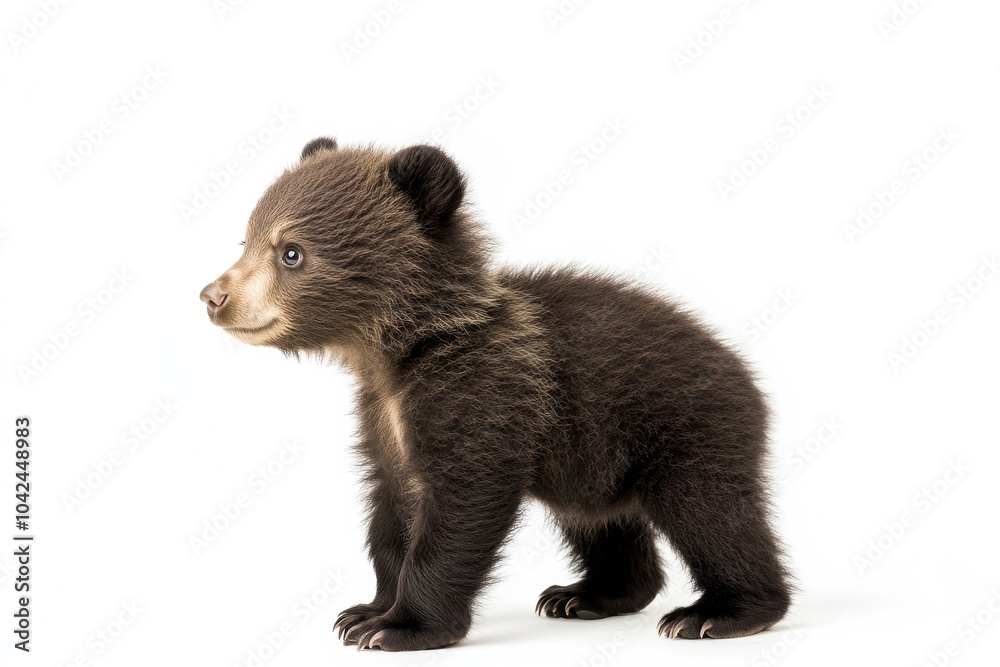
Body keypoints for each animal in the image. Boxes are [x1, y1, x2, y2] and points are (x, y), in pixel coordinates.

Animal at [199, 137, 792, 651]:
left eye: (291, 252)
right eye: (246, 239)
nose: (213, 296)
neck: (402, 352)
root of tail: (747, 376)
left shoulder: (484, 393)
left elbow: (462, 505)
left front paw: (401, 627)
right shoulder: (383, 415)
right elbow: (391, 507)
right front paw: (365, 610)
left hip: (688, 430)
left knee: (712, 515)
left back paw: (719, 613)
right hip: (596, 460)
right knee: (598, 519)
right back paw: (585, 595)